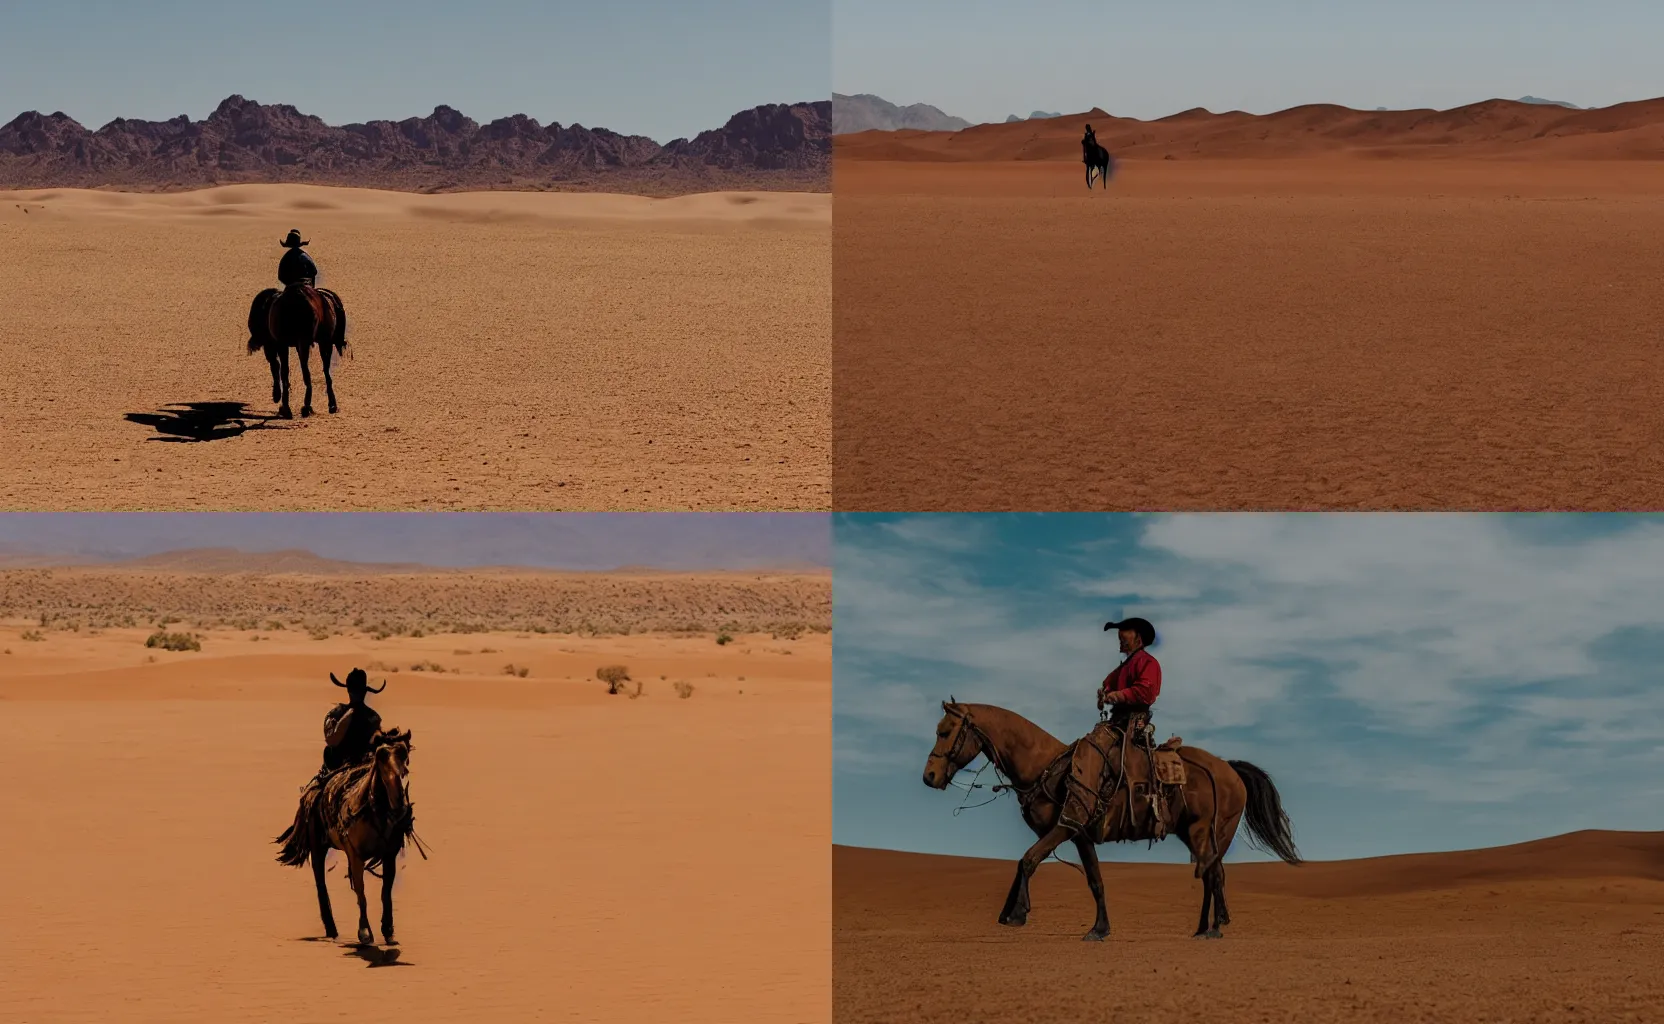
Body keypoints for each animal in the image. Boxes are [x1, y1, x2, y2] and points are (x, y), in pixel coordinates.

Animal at [244, 283, 346, 417]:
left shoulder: (278, 345)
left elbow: (280, 370)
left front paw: (282, 403)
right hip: (324, 343)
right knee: (324, 371)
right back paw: (329, 405)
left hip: (300, 343)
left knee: (299, 370)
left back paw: (303, 406)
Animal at [272, 729, 416, 945]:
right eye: (380, 756)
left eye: (405, 753)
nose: (399, 800)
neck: (374, 812)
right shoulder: (355, 855)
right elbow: (361, 892)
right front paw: (364, 933)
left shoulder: (390, 854)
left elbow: (386, 892)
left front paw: (388, 931)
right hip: (317, 846)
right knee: (320, 882)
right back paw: (331, 928)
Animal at [925, 702, 1297, 939]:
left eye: (945, 731)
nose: (929, 776)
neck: (1045, 765)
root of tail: (1230, 769)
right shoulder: (1080, 834)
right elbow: (1095, 880)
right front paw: (1099, 929)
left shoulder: (1065, 826)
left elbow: (1028, 860)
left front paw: (1014, 914)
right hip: (1200, 834)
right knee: (1213, 874)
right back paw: (1206, 927)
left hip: (1207, 832)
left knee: (1211, 874)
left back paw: (1212, 930)